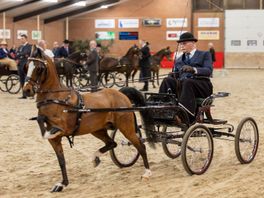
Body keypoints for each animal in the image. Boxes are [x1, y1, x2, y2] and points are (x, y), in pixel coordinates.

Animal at [23, 44, 153, 192]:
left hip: (126, 128)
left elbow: (46, 126)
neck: (56, 98)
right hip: (97, 130)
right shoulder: (55, 140)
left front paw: (49, 131)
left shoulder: (63, 127)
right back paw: (95, 157)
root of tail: (121, 94)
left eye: (39, 68)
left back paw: (147, 172)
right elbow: (61, 160)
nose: (26, 90)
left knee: (140, 145)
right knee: (112, 143)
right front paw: (63, 184)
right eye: (26, 66)